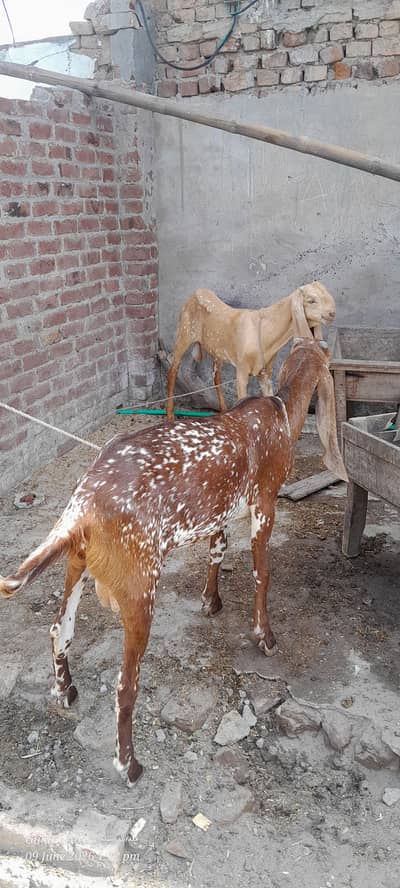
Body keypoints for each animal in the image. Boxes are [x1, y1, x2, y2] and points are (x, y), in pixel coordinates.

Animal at [0, 338, 347, 787]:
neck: (281, 412)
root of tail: (84, 505)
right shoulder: (265, 505)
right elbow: (262, 573)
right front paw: (265, 636)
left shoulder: (219, 511)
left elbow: (218, 549)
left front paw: (211, 601)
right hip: (140, 587)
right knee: (124, 685)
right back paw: (129, 765)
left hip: (77, 563)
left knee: (60, 631)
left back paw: (65, 692)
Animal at [166, 281, 336, 420]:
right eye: (311, 300)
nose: (332, 313)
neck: (263, 332)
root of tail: (196, 292)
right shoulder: (241, 370)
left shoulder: (265, 373)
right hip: (183, 334)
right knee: (173, 370)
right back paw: (169, 415)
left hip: (217, 350)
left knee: (216, 377)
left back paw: (223, 410)